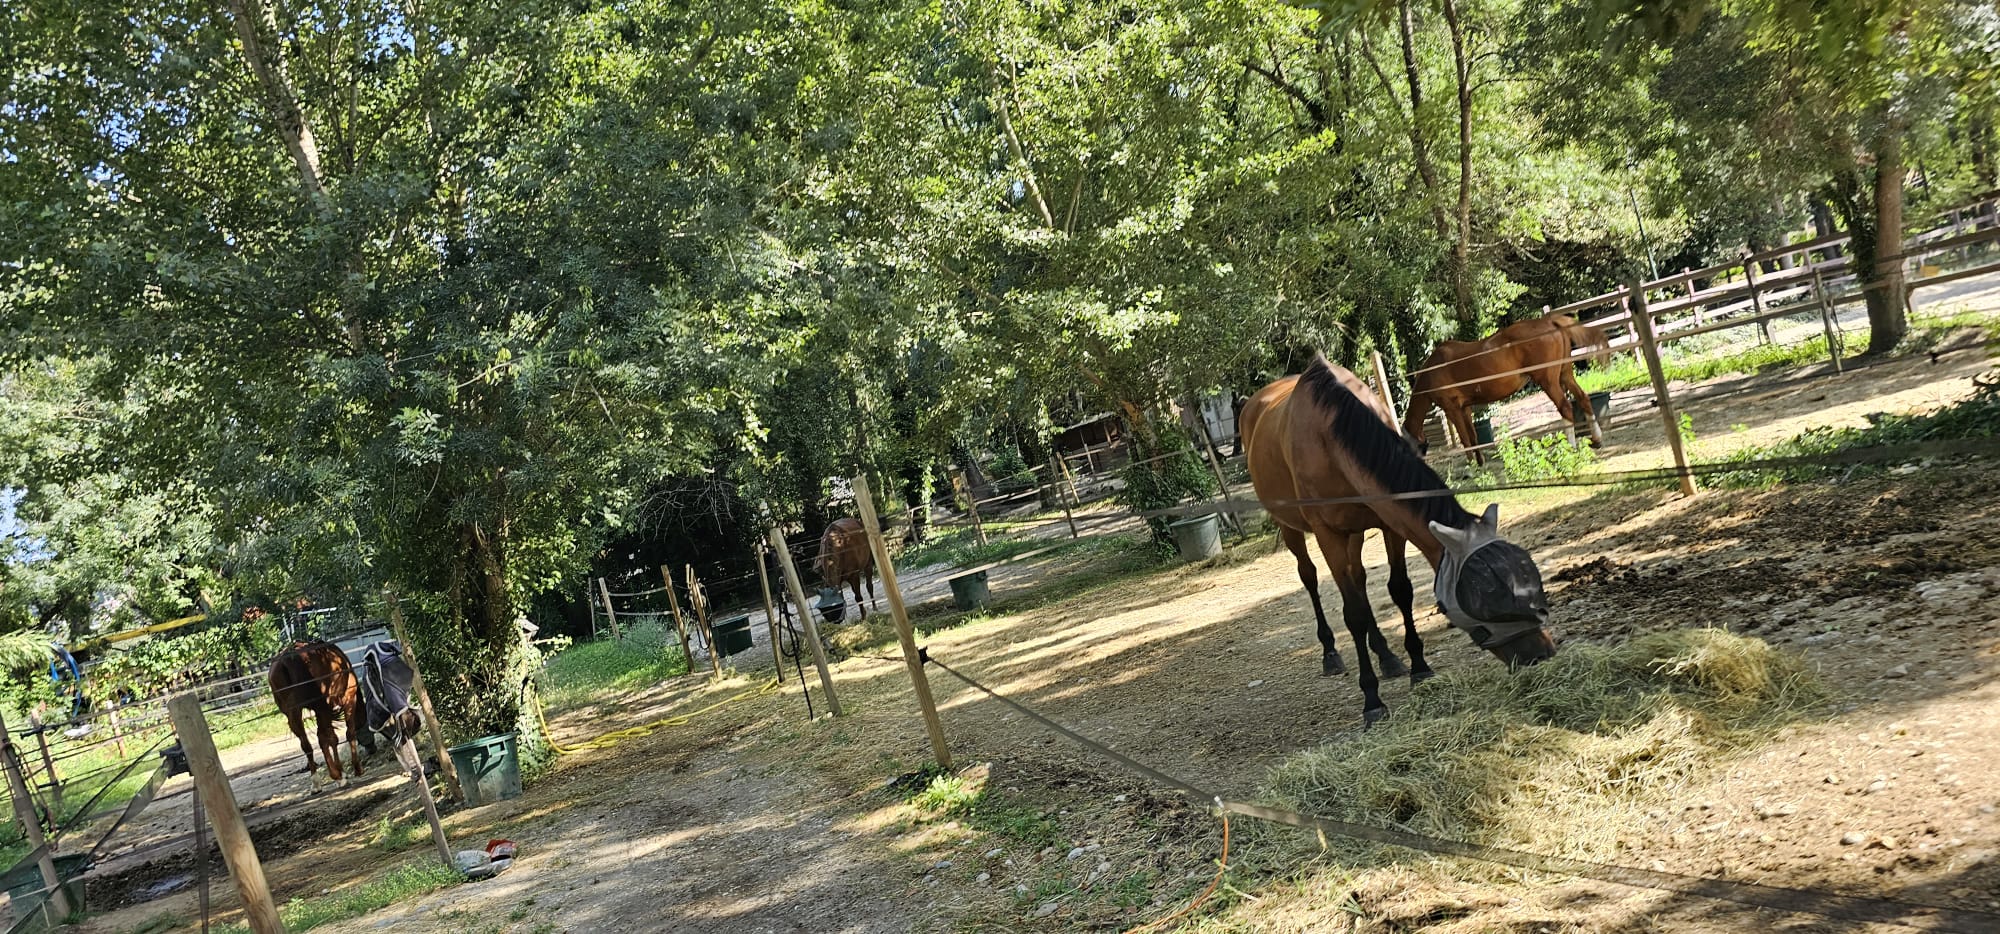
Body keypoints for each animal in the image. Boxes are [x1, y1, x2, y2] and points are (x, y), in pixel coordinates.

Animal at [268, 644, 374, 784]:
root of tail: (286, 660)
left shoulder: (324, 710)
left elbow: (330, 738)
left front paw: (340, 772)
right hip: (321, 708)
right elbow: (348, 734)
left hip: (293, 712)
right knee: (324, 738)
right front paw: (355, 769)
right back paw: (337, 775)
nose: (372, 749)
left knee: (307, 745)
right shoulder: (348, 700)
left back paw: (317, 781)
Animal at [1248, 354, 1560, 728]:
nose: (1542, 653)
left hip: (1355, 533)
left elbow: (1400, 590)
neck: (1327, 433)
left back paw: (1386, 655)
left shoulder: (1389, 524)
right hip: (1292, 528)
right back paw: (1330, 652)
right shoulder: (1328, 535)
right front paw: (1371, 699)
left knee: (1359, 579)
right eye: (1488, 602)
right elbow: (1353, 613)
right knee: (1310, 577)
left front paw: (1419, 667)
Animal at [1400, 314, 1616, 458]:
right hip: (1565, 375)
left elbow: (1465, 439)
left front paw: (1472, 469)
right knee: (1583, 398)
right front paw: (1480, 465)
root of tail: (1548, 321)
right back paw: (1597, 439)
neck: (1433, 370)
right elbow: (1473, 437)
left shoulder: (1451, 408)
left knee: (1565, 408)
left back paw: (1570, 447)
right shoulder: (1465, 408)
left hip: (1548, 382)